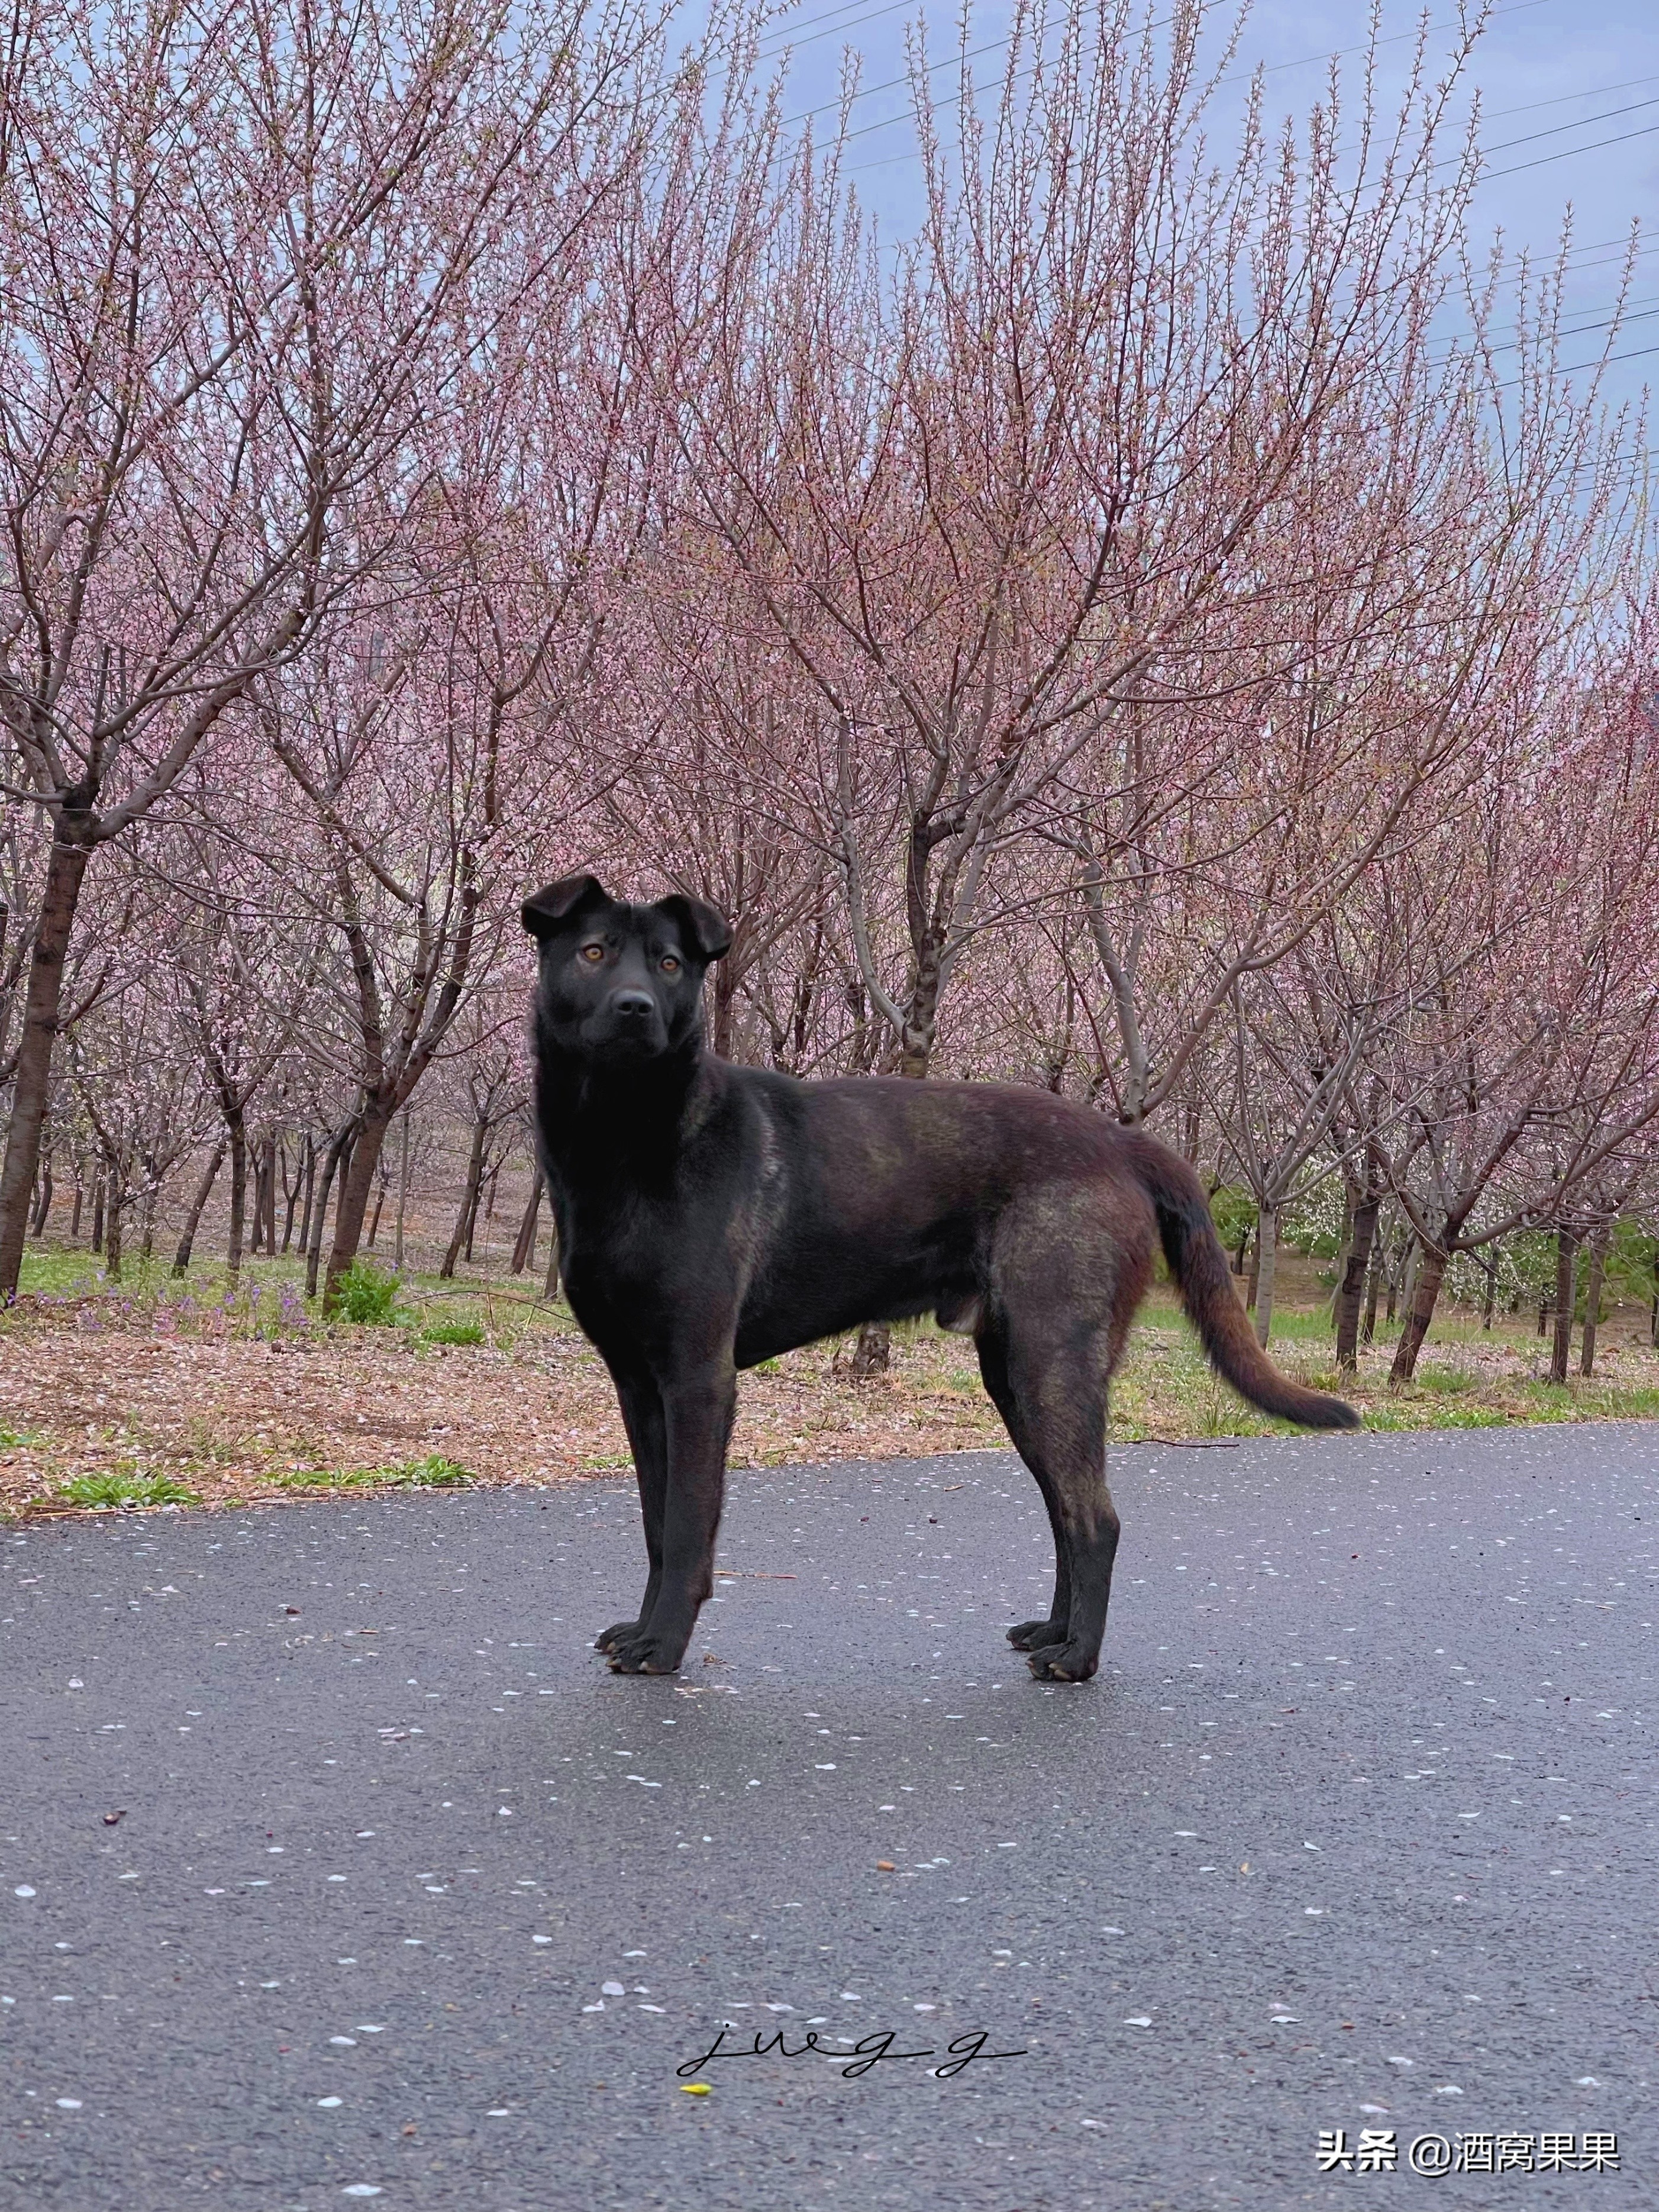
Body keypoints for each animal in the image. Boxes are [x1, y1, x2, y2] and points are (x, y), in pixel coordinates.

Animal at [526, 876, 1354, 1672]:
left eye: (669, 964)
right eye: (594, 953)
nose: (635, 1009)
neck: (627, 1139)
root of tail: (1123, 1142)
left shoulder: (699, 1379)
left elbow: (687, 1528)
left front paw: (663, 1646)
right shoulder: (639, 1383)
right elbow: (654, 1525)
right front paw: (641, 1630)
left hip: (1051, 1367)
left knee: (1095, 1518)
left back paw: (1077, 1658)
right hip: (1015, 1380)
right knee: (1064, 1512)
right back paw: (1054, 1633)